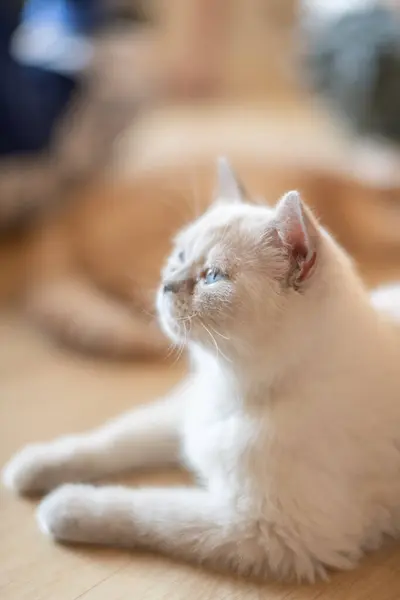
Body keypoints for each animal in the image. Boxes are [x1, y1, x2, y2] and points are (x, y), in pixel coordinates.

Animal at [3, 158, 400, 580]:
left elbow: (148, 510)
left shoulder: (269, 530)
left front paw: (66, 505)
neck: (230, 384)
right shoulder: (185, 415)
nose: (165, 285)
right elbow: (112, 438)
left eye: (212, 277)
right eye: (179, 255)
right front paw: (32, 466)